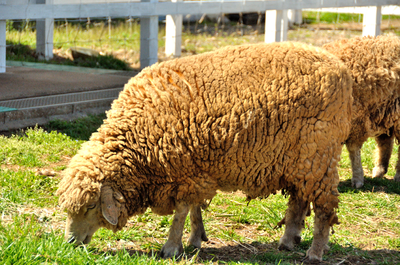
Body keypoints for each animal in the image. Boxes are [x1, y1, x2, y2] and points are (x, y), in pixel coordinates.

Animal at [57, 42, 354, 260]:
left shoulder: (186, 172)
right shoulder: (196, 168)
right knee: (299, 199)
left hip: (319, 154)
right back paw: (288, 241)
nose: (69, 242)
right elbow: (194, 209)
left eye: (91, 205)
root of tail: (339, 67)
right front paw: (195, 239)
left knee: (324, 207)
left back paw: (315, 252)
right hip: (300, 159)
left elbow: (181, 212)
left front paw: (171, 247)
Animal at [324, 35, 400, 188]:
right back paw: (379, 170)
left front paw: (357, 179)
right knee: (385, 140)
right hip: (383, 111)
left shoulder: (356, 120)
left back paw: (398, 175)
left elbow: (353, 149)